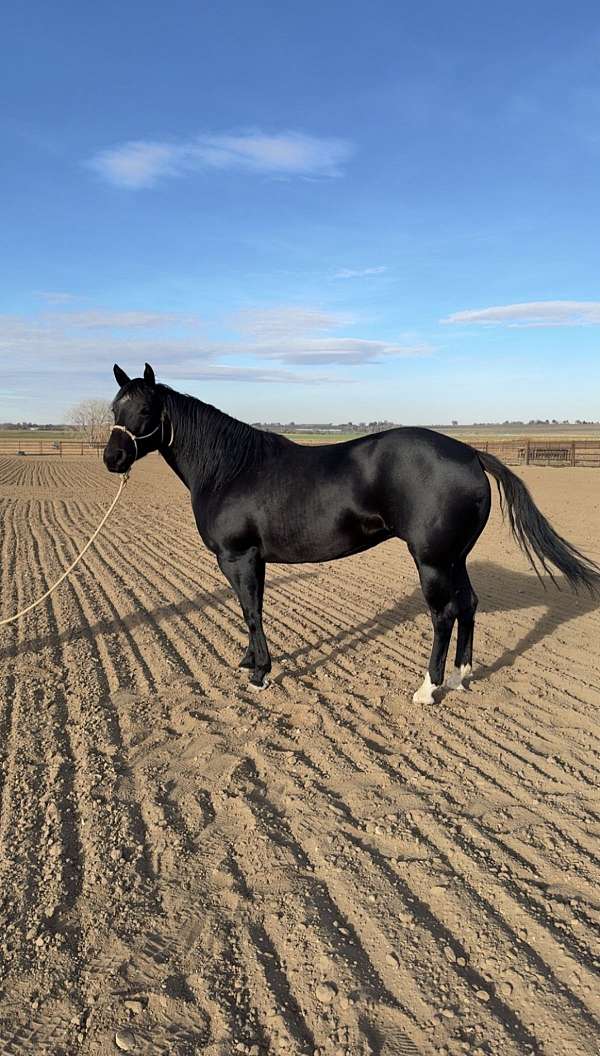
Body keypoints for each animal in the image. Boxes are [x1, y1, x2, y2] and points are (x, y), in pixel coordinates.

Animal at [103, 363, 599, 703]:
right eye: (114, 407)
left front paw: (260, 674)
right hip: (454, 557)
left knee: (443, 614)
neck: (231, 467)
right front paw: (248, 662)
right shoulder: (250, 560)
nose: (112, 459)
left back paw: (428, 688)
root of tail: (470, 453)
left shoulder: (239, 556)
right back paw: (461, 677)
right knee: (469, 606)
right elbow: (250, 611)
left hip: (433, 561)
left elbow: (252, 612)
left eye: (145, 408)